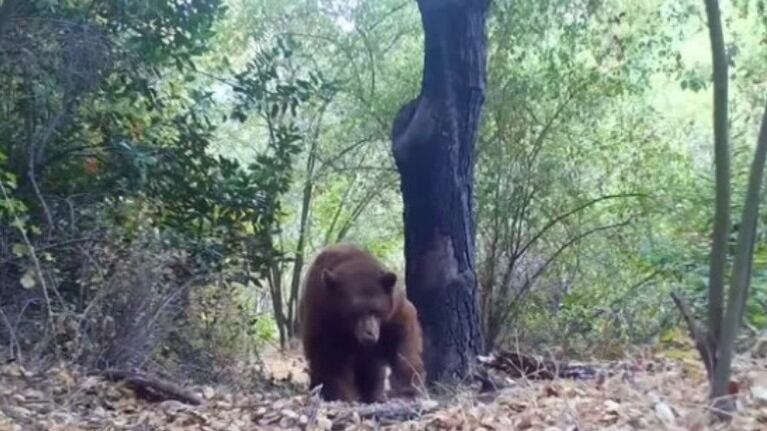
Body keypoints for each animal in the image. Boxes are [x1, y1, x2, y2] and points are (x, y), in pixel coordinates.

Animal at [298, 243, 425, 403]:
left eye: (376, 311)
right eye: (354, 312)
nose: (369, 334)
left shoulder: (393, 312)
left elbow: (404, 342)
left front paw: (409, 389)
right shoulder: (325, 320)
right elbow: (331, 359)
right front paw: (341, 395)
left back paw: (374, 394)